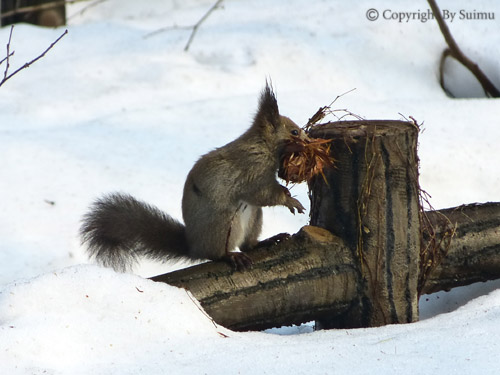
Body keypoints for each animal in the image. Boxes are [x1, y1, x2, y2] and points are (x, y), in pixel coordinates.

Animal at [81, 82, 306, 272]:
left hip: (253, 218)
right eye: (294, 132)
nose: (308, 139)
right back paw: (230, 256)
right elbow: (263, 193)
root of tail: (194, 247)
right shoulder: (252, 170)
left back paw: (268, 240)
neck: (262, 145)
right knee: (217, 254)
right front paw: (290, 200)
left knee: (248, 245)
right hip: (224, 224)